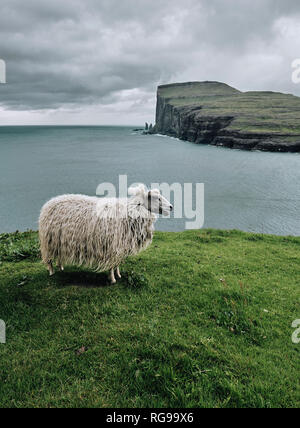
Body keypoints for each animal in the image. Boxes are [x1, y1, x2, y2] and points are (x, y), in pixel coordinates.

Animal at [38, 185, 172, 282]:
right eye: (157, 198)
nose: (171, 207)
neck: (131, 212)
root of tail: (49, 203)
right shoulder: (112, 246)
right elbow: (112, 264)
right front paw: (113, 279)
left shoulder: (120, 245)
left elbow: (117, 263)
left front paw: (119, 275)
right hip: (49, 240)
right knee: (49, 258)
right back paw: (52, 272)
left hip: (59, 240)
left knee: (59, 255)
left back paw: (61, 267)